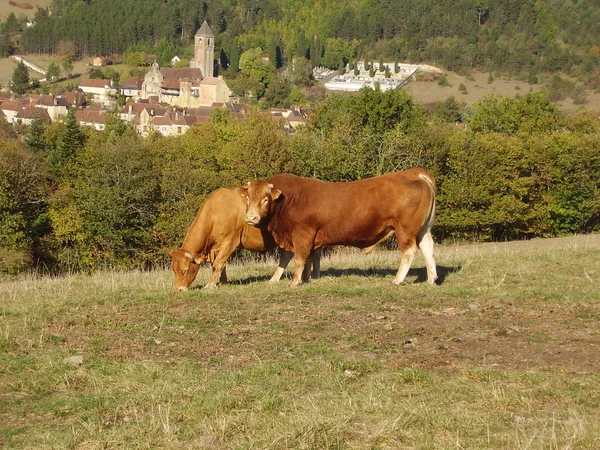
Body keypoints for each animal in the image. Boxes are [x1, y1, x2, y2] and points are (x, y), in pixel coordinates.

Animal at [169, 187, 318, 290]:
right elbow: (221, 264)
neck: (215, 213)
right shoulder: (217, 246)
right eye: (173, 270)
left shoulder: (230, 241)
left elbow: (218, 264)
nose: (179, 290)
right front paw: (223, 282)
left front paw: (210, 285)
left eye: (185, 270)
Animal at [237, 167, 438, 286]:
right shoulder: (306, 238)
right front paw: (301, 279)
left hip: (405, 230)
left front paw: (295, 282)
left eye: (265, 199)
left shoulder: (302, 234)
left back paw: (397, 279)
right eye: (248, 197)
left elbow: (299, 258)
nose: (251, 217)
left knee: (409, 251)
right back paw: (431, 279)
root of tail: (413, 173)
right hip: (424, 229)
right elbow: (305, 259)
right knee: (428, 248)